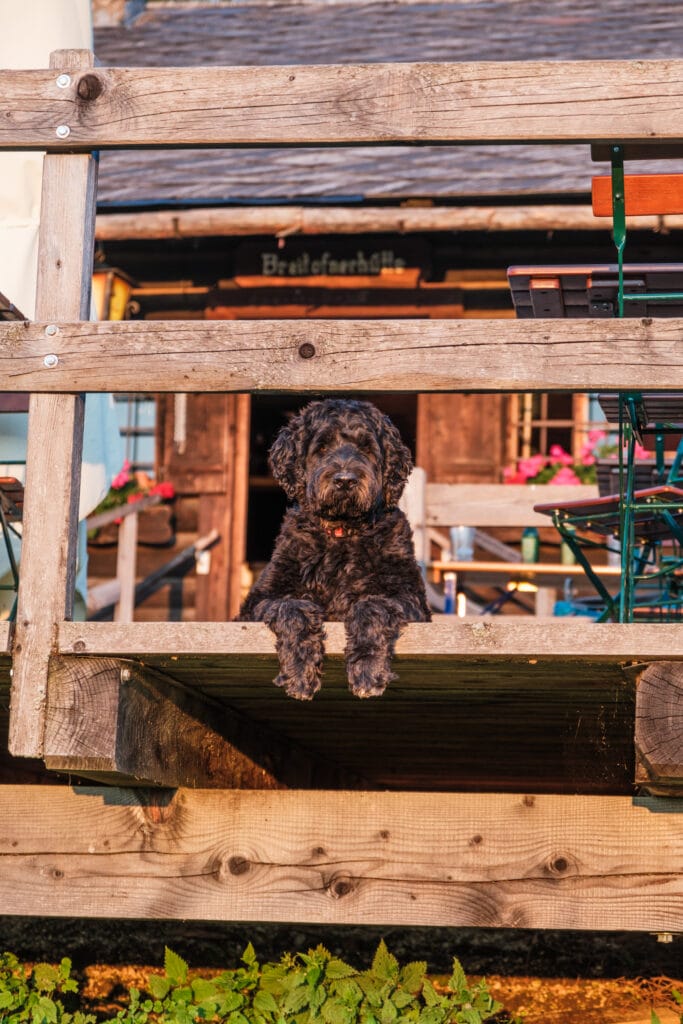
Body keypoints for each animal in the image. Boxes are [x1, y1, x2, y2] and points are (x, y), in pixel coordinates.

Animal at [237, 395, 430, 700]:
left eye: (366, 448)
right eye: (322, 447)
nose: (345, 480)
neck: (342, 533)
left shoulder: (409, 597)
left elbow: (372, 606)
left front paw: (367, 668)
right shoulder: (258, 601)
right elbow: (291, 608)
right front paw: (300, 670)